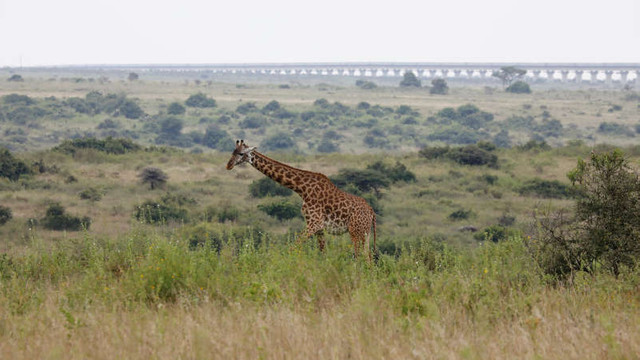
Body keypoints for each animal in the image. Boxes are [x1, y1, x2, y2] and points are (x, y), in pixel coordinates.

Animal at [226, 139, 376, 260]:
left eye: (241, 154)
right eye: (232, 152)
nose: (228, 165)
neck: (302, 189)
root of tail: (371, 212)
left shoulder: (314, 223)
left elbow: (293, 246)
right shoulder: (318, 228)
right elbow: (323, 253)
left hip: (356, 231)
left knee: (360, 256)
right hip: (365, 233)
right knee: (367, 257)